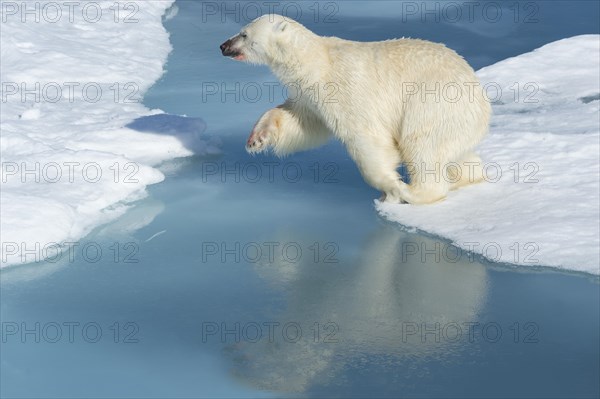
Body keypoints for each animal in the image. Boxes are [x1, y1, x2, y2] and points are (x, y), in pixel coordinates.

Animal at [218, 14, 490, 205]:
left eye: (243, 34)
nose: (222, 45)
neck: (316, 62)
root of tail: (481, 98)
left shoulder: (345, 89)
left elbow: (366, 137)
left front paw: (390, 188)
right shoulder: (310, 96)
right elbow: (301, 122)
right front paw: (257, 139)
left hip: (435, 103)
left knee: (423, 145)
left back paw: (415, 191)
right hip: (459, 120)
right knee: (454, 152)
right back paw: (466, 176)